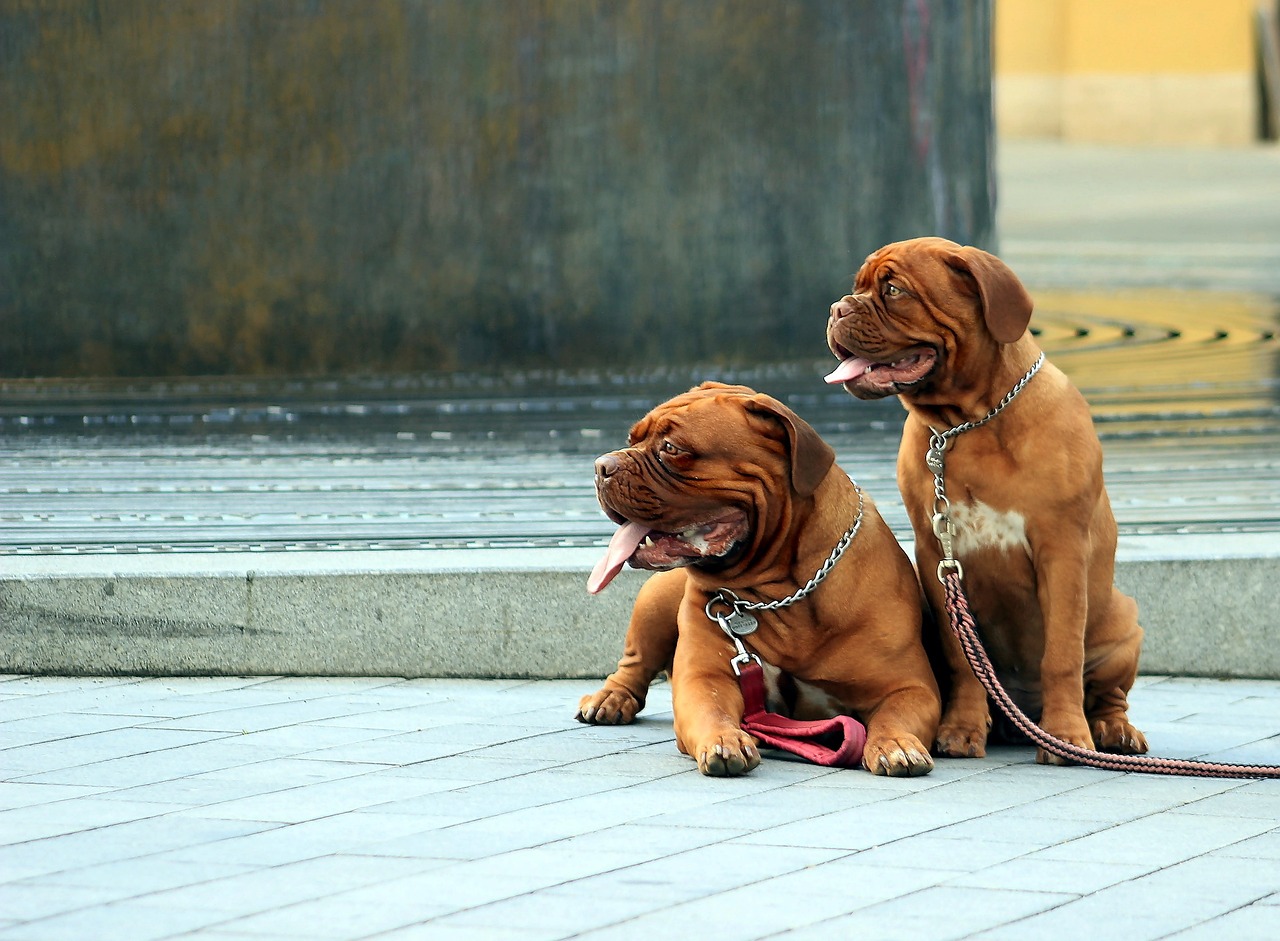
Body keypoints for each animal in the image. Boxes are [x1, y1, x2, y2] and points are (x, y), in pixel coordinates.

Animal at [581, 378, 942, 778]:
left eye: (672, 448)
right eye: (631, 439)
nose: (601, 465)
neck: (780, 592)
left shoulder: (908, 687)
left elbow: (894, 715)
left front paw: (896, 744)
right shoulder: (705, 680)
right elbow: (712, 710)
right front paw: (725, 740)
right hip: (654, 604)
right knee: (634, 663)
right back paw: (610, 698)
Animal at [829, 235, 1152, 768]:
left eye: (894, 289)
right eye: (856, 286)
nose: (837, 308)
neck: (969, 423)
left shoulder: (1062, 551)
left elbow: (1063, 653)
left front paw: (1067, 736)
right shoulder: (936, 556)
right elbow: (963, 658)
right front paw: (960, 729)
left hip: (1124, 625)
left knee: (1108, 694)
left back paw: (1112, 730)